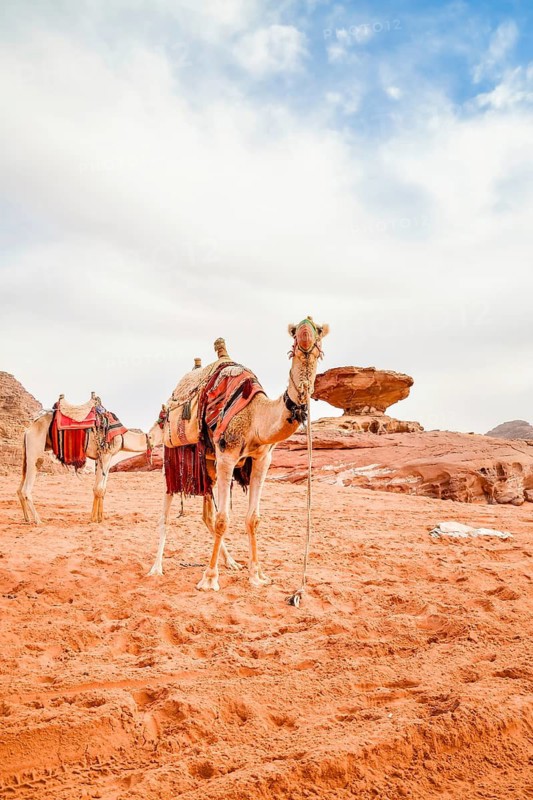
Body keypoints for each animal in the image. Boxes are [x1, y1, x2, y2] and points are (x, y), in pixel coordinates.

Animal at [18, 406, 153, 524]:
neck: (123, 436)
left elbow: (101, 489)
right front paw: (94, 519)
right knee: (28, 485)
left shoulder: (104, 458)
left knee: (20, 488)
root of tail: (27, 430)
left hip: (27, 453)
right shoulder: (105, 454)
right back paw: (38, 520)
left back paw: (27, 518)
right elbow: (99, 489)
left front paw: (99, 517)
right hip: (35, 447)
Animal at [148, 317, 329, 591]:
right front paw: (209, 579)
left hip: (206, 466)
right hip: (174, 457)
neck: (256, 417)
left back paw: (232, 562)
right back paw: (156, 568)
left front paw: (257, 575)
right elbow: (224, 519)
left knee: (206, 515)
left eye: (319, 329)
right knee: (166, 515)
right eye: (294, 331)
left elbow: (252, 519)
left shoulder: (262, 460)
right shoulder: (227, 455)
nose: (306, 332)